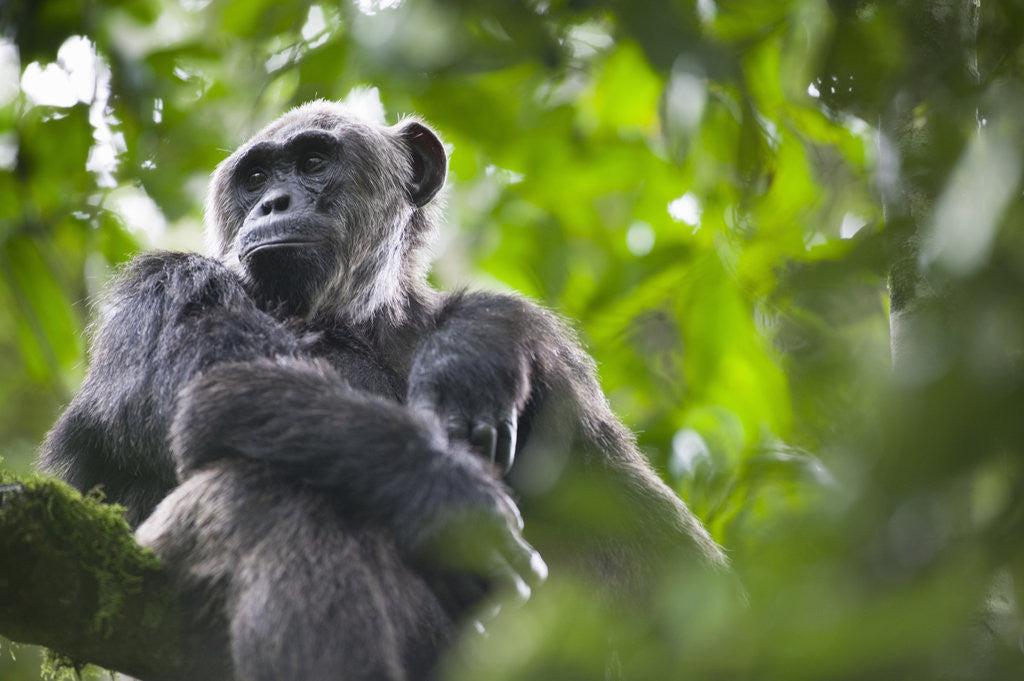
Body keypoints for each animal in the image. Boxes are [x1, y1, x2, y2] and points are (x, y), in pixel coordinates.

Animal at [39, 100, 727, 681]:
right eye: (255, 177)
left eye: (313, 162)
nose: (273, 202)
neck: (352, 321)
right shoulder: (164, 288)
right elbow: (220, 387)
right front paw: (447, 495)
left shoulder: (565, 383)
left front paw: (476, 346)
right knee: (262, 495)